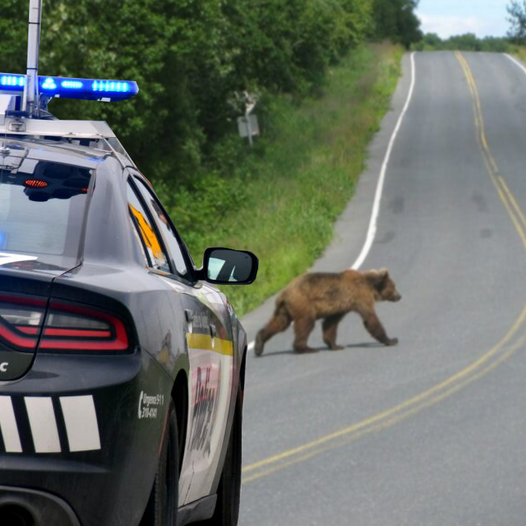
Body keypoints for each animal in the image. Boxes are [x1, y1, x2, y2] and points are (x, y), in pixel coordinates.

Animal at [255, 270, 400, 356]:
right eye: (393, 287)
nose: (399, 296)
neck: (370, 285)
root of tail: (283, 293)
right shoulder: (360, 297)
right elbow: (370, 319)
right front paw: (392, 339)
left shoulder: (340, 306)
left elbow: (331, 323)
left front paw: (335, 345)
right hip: (303, 304)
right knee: (306, 323)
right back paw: (306, 348)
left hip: (284, 309)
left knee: (279, 323)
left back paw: (259, 345)